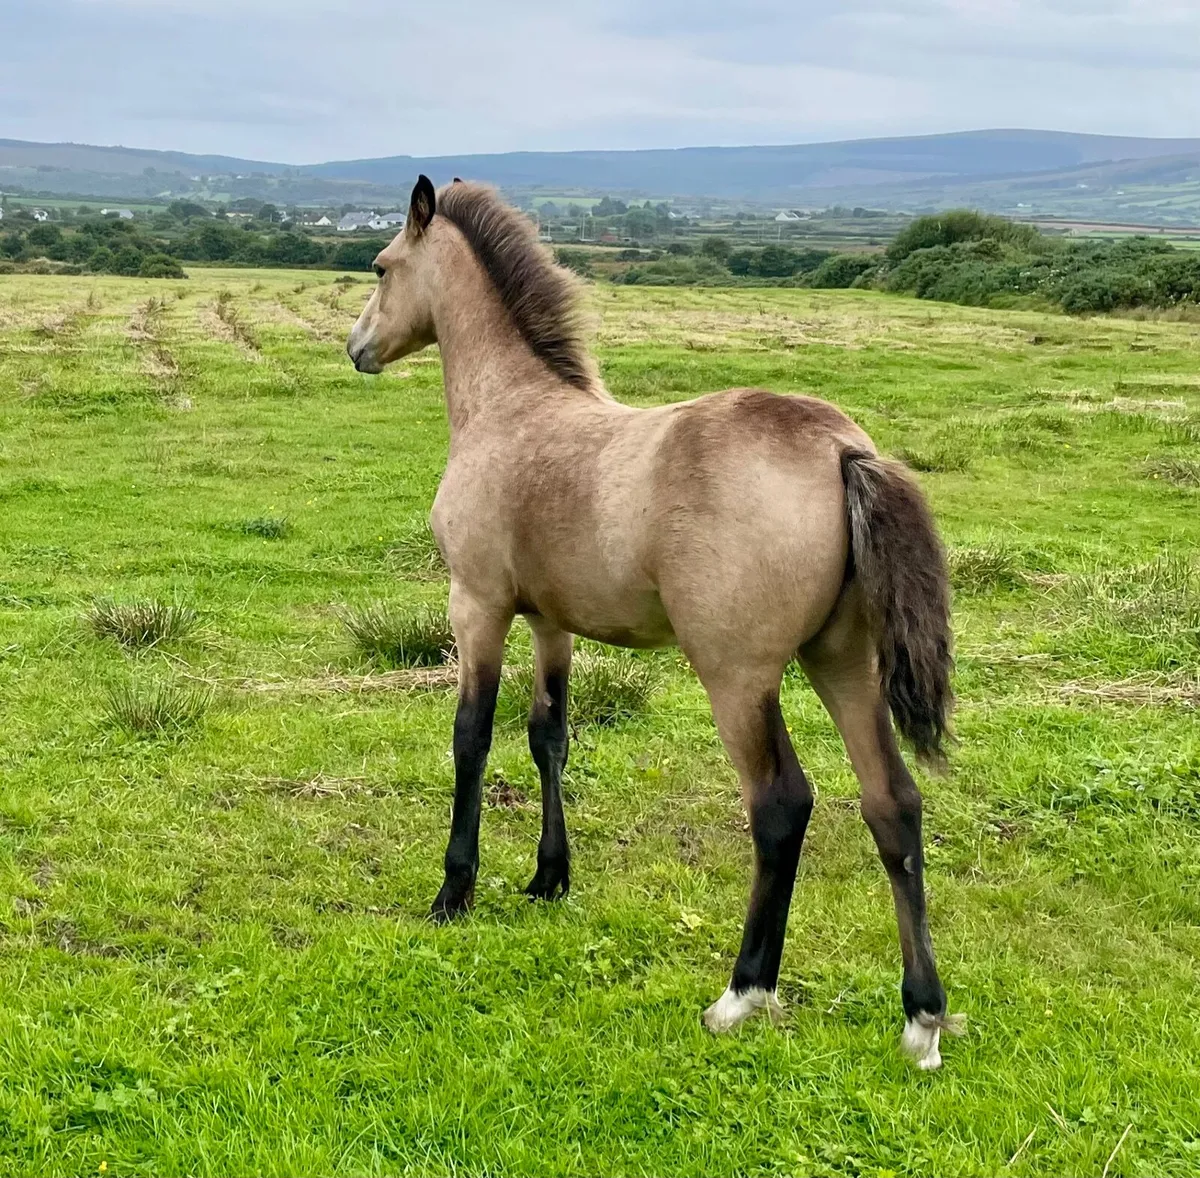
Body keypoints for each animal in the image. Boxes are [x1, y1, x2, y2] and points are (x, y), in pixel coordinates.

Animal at [347, 176, 962, 1069]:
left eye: (382, 265)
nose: (356, 346)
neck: (512, 411)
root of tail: (843, 450)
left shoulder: (478, 606)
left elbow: (472, 738)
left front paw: (453, 890)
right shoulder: (552, 623)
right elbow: (549, 736)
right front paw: (549, 878)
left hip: (737, 675)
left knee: (782, 805)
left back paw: (743, 994)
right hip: (844, 662)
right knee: (893, 803)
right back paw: (922, 1018)